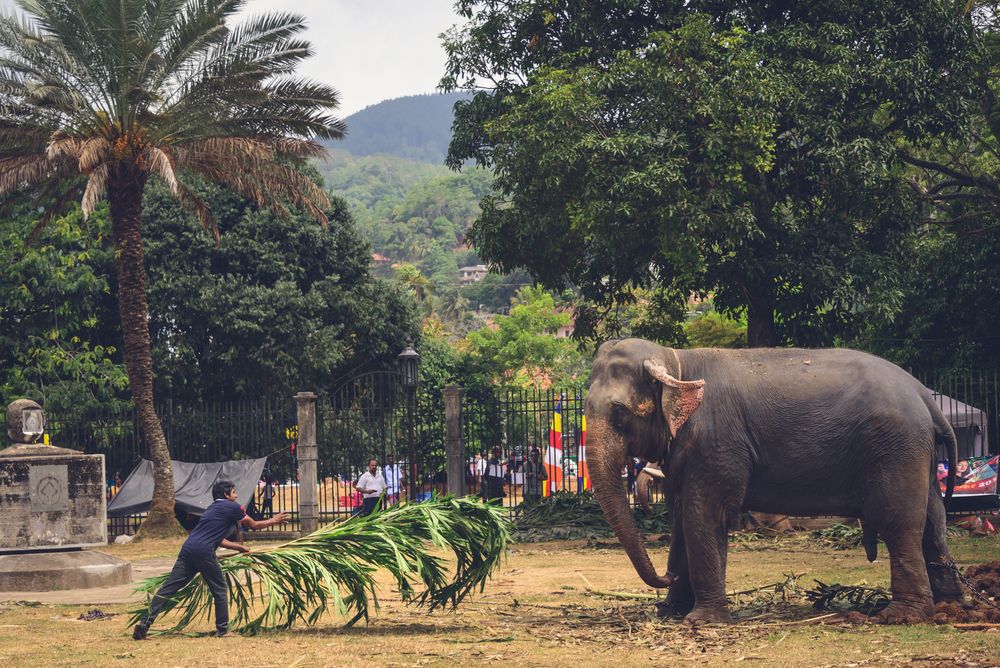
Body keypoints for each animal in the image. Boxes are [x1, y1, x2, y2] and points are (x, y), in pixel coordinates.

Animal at [584, 340, 960, 628]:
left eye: (619, 414)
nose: (666, 577)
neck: (675, 359)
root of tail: (925, 396)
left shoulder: (716, 444)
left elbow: (705, 517)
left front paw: (701, 622)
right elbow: (681, 524)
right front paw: (670, 612)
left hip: (896, 447)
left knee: (900, 523)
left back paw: (900, 616)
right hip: (913, 452)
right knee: (934, 521)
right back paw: (950, 606)